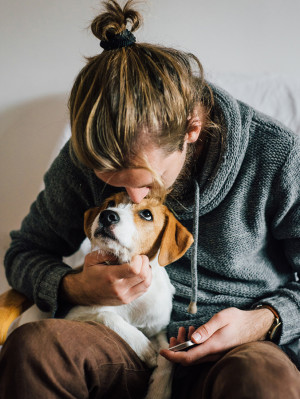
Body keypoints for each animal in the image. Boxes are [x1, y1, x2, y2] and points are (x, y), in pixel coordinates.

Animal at [65, 192, 193, 398]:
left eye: (147, 214)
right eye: (110, 203)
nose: (107, 215)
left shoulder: (158, 329)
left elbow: (167, 356)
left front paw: (158, 392)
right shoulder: (75, 313)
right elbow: (106, 314)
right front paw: (144, 348)